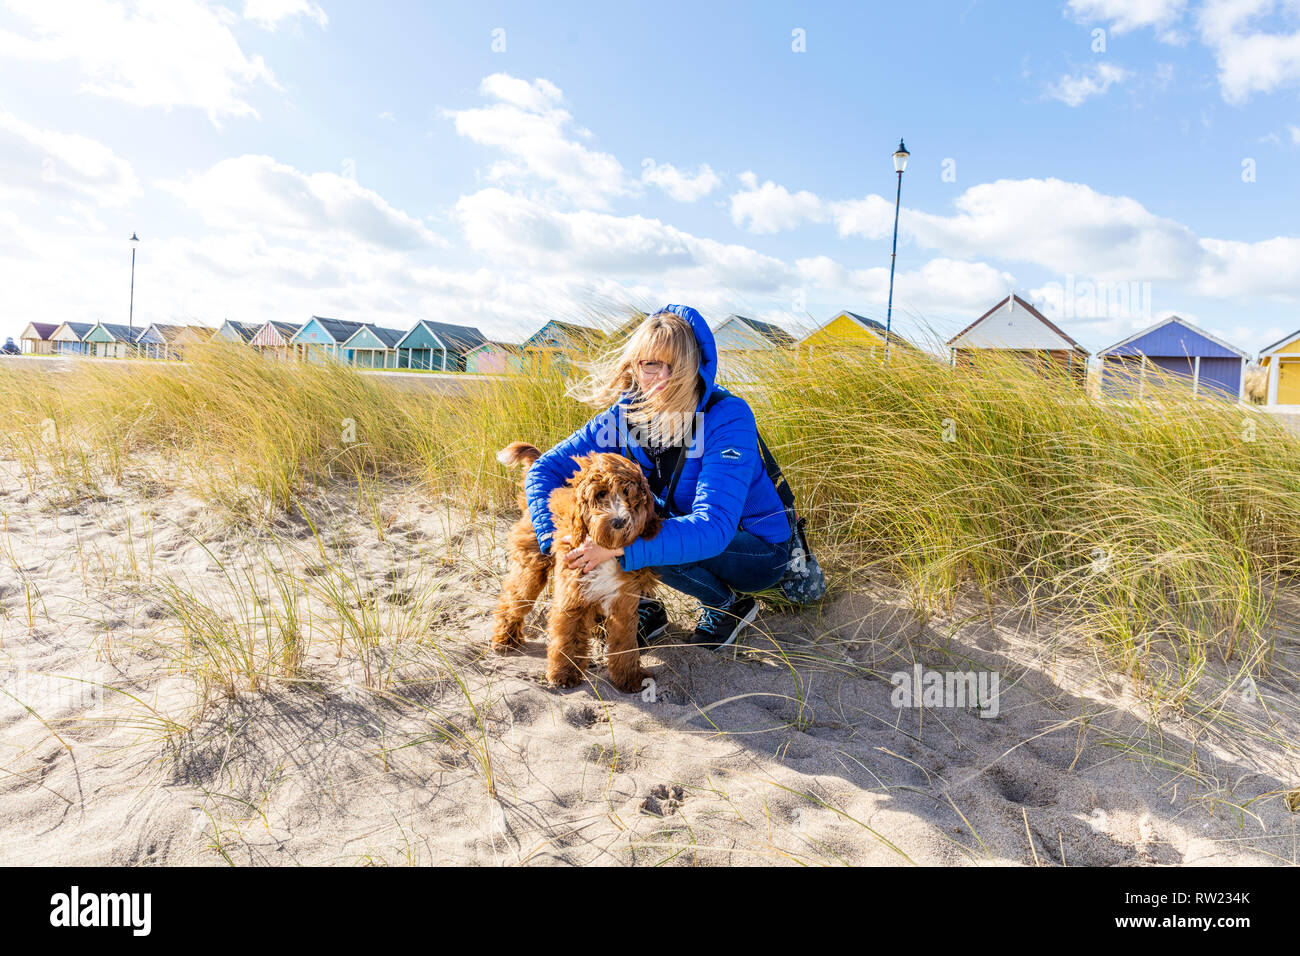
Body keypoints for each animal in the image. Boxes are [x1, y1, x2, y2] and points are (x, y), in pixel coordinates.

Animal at [491, 442, 665, 697]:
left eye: (628, 494)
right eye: (600, 494)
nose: (619, 521)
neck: (603, 546)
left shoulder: (624, 603)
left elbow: (625, 643)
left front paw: (629, 677)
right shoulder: (572, 596)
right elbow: (568, 636)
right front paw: (565, 674)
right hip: (531, 567)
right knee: (514, 599)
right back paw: (505, 637)